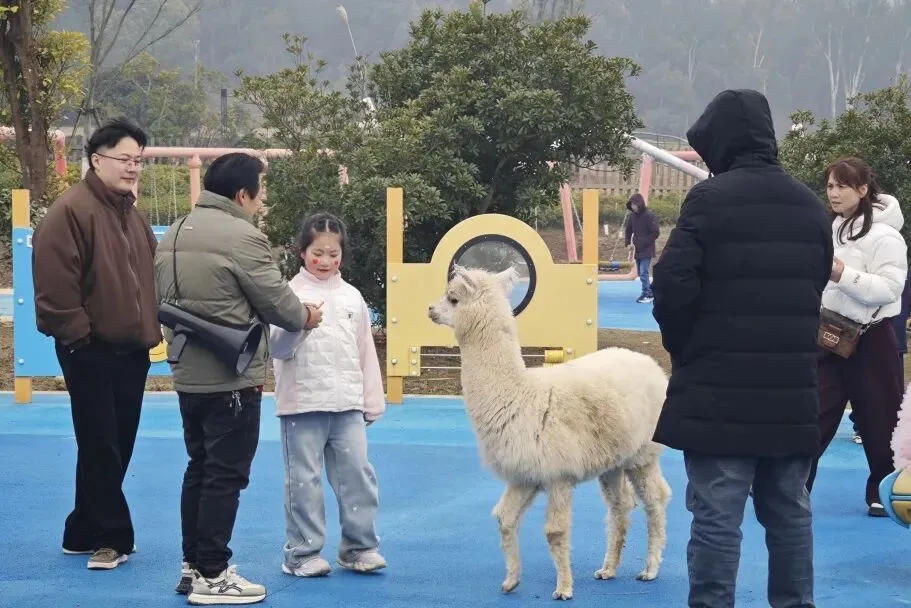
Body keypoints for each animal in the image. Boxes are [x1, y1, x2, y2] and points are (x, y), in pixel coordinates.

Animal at [427, 265, 672, 601]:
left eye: (453, 298)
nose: (430, 309)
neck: (519, 395)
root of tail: (651, 364)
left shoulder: (558, 475)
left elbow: (555, 532)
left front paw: (564, 589)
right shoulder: (525, 474)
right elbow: (504, 519)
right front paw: (511, 581)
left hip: (642, 453)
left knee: (655, 500)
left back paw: (650, 569)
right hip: (613, 459)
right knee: (621, 505)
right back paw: (608, 569)